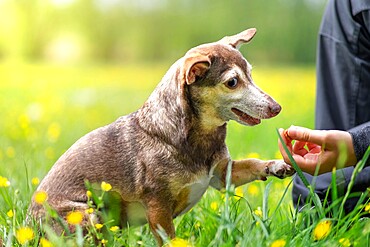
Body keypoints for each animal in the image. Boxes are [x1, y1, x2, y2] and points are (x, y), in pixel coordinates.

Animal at [30, 28, 294, 245]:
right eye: (232, 82)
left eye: (250, 74)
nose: (277, 107)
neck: (197, 138)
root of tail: (29, 227)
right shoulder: (158, 208)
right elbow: (169, 239)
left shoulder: (222, 175)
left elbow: (251, 164)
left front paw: (276, 165)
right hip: (88, 214)